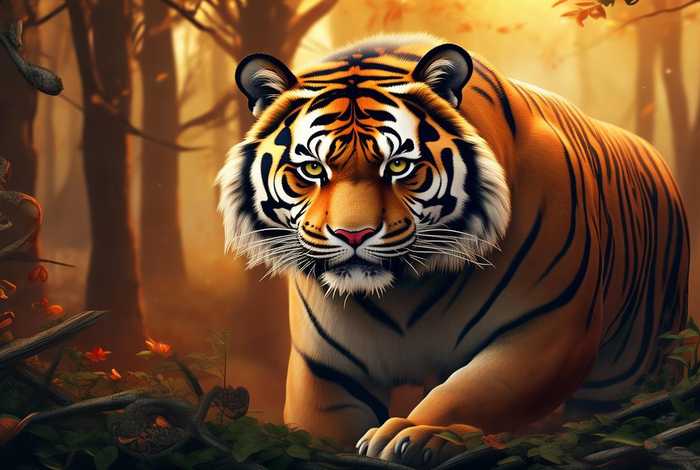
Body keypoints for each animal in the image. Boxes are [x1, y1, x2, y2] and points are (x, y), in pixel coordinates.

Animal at [216, 34, 689, 467]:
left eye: (399, 165)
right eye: (312, 168)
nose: (354, 234)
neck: (403, 294)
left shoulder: (548, 330)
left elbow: (475, 389)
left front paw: (416, 433)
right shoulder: (326, 368)